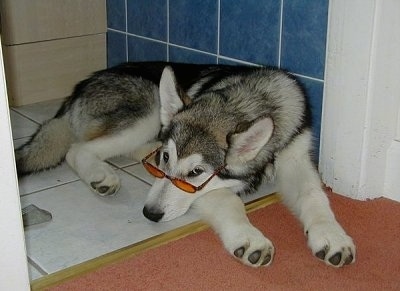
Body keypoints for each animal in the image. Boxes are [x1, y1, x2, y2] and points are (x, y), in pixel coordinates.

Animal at [14, 62, 356, 270]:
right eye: (167, 160)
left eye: (194, 173)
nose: (149, 214)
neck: (253, 99)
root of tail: (80, 86)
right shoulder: (207, 191)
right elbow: (230, 201)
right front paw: (248, 237)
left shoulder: (296, 157)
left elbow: (314, 195)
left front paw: (332, 235)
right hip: (148, 108)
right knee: (77, 149)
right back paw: (102, 175)